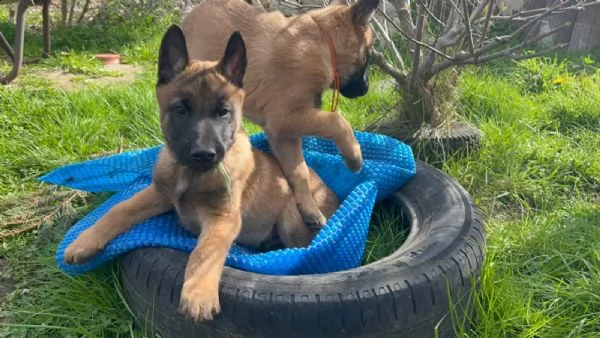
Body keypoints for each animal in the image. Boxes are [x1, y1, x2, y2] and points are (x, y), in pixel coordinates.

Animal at [65, 24, 340, 322]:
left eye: (223, 112)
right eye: (181, 109)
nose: (204, 154)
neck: (191, 174)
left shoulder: (223, 217)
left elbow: (204, 252)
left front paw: (199, 294)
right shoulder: (159, 194)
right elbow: (119, 210)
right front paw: (85, 241)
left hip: (291, 217)